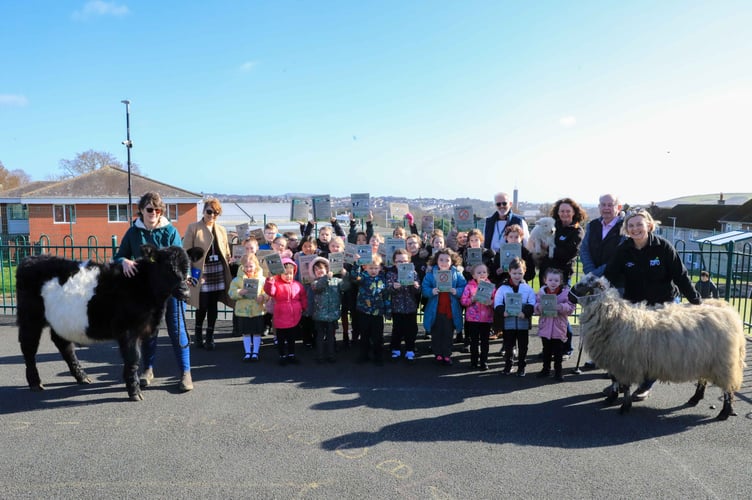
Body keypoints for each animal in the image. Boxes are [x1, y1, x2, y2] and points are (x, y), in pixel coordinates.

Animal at [15, 244, 203, 400]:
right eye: (168, 268)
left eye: (187, 267)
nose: (185, 292)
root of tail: (29, 259)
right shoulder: (128, 330)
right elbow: (133, 358)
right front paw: (134, 392)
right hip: (29, 318)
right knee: (29, 347)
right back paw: (35, 383)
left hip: (61, 320)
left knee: (64, 345)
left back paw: (82, 377)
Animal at [568, 276, 748, 420]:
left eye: (582, 284)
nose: (568, 295)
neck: (613, 315)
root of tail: (731, 312)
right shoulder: (615, 360)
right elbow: (614, 380)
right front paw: (611, 397)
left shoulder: (625, 363)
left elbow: (625, 386)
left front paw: (624, 407)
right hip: (705, 359)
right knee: (703, 380)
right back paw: (695, 398)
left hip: (723, 363)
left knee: (728, 388)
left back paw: (725, 412)